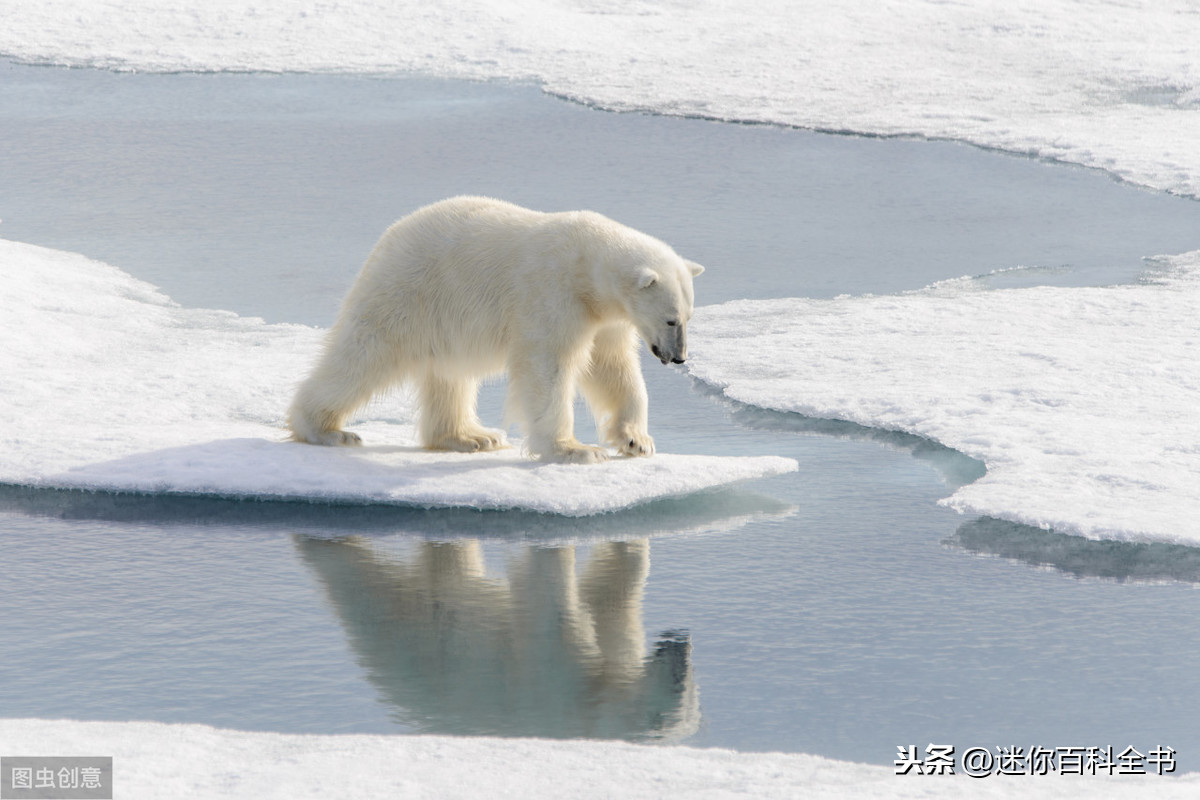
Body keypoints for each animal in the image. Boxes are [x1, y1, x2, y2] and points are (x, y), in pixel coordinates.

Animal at [288, 194, 700, 465]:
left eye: (689, 317)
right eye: (670, 319)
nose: (679, 357)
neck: (586, 268)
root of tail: (387, 239)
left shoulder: (604, 317)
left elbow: (613, 368)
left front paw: (637, 440)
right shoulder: (551, 295)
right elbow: (547, 368)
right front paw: (576, 449)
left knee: (448, 376)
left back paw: (472, 437)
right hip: (408, 292)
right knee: (363, 356)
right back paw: (327, 430)